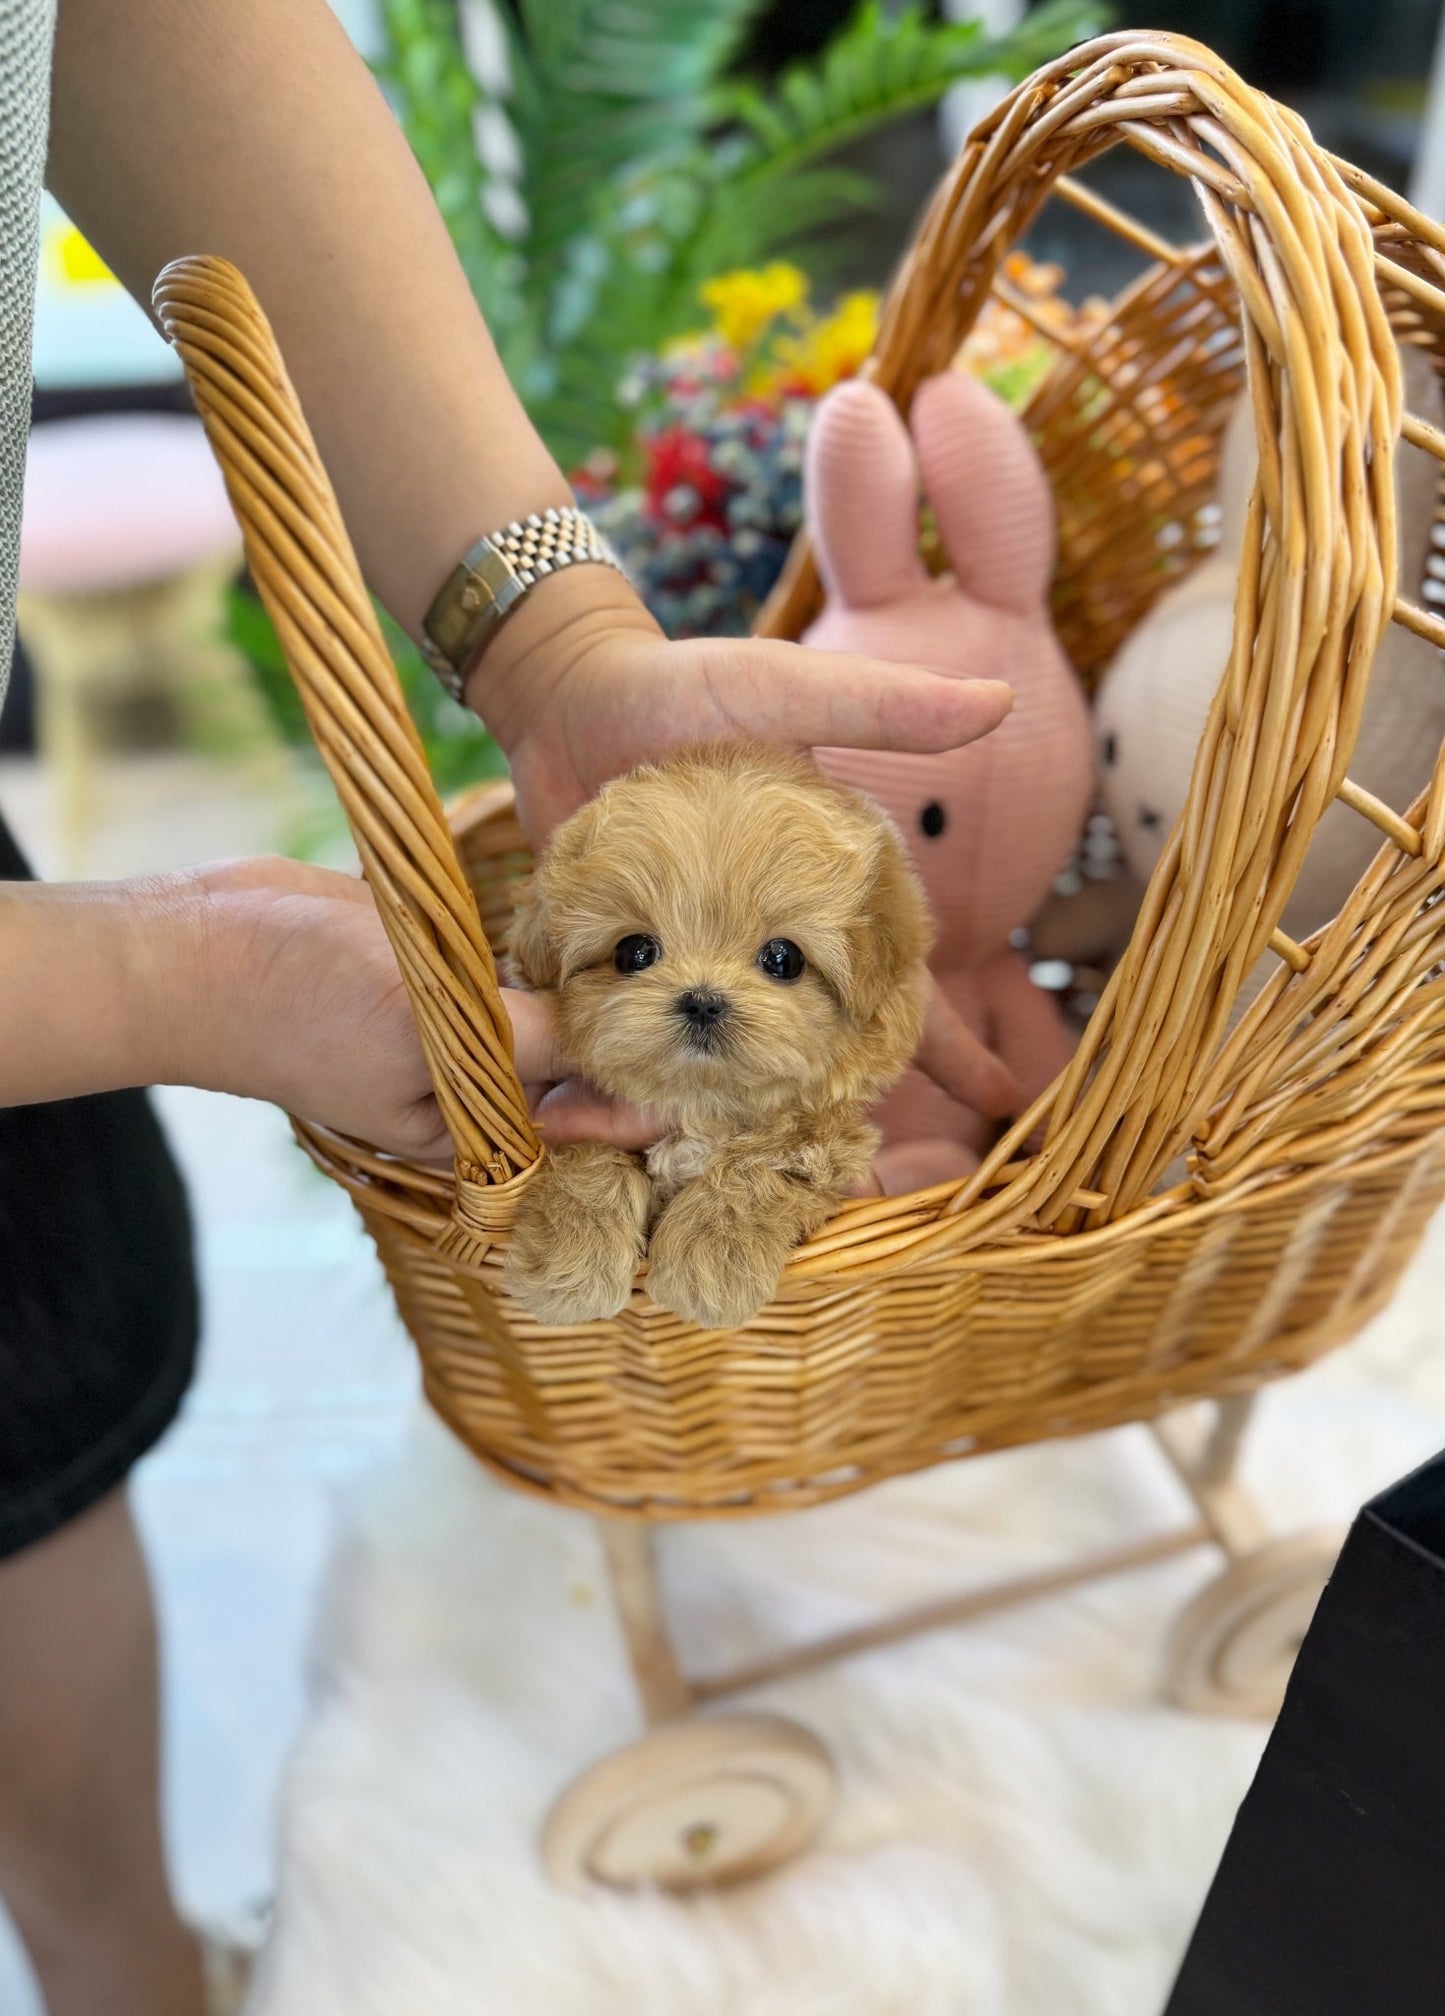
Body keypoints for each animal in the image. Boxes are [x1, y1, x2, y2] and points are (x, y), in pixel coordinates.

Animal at [507, 737, 931, 1322]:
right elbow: (589, 1158)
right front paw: (567, 1260)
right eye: (633, 952)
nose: (703, 1002)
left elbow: (764, 1163)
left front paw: (710, 1261)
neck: (702, 1106)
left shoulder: (830, 1142)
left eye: (783, 959)